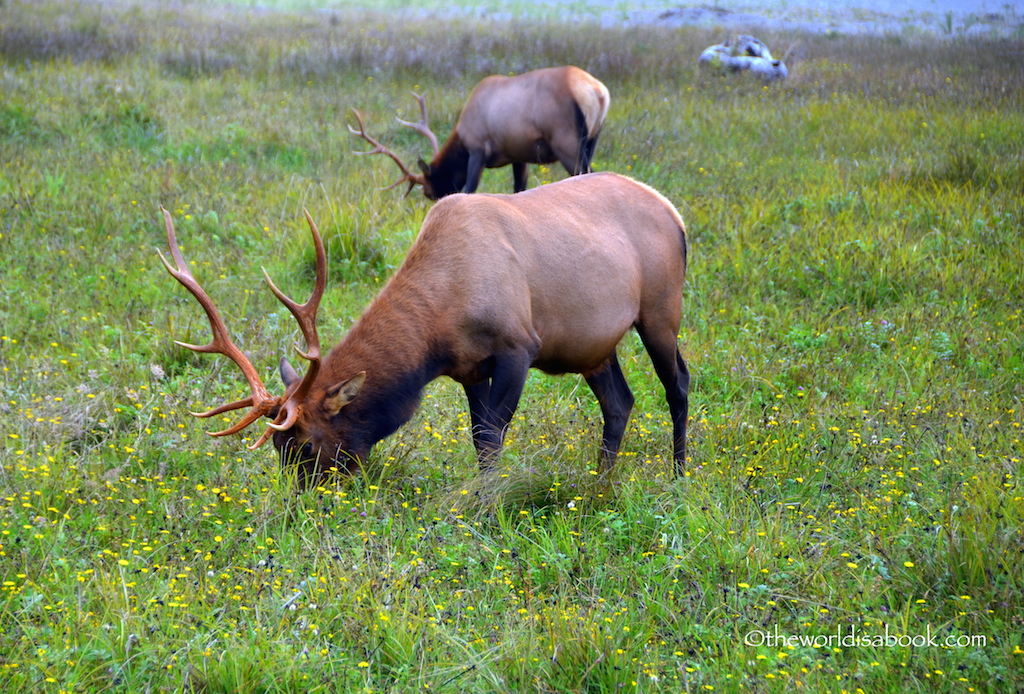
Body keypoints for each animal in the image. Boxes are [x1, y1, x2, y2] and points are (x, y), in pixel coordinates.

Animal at [157, 170, 688, 483]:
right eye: (276, 447)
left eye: (307, 445)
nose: (296, 509)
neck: (437, 333)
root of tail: (675, 213)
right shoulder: (469, 367)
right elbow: (478, 436)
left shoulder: (518, 346)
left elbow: (493, 435)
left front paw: (488, 507)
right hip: (595, 346)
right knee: (619, 402)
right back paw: (601, 485)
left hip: (660, 312)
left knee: (677, 383)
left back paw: (679, 476)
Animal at [348, 65, 610, 199]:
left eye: (429, 193)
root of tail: (598, 93)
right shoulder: (519, 154)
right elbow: (519, 188)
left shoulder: (478, 149)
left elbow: (469, 189)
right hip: (592, 141)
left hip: (567, 142)